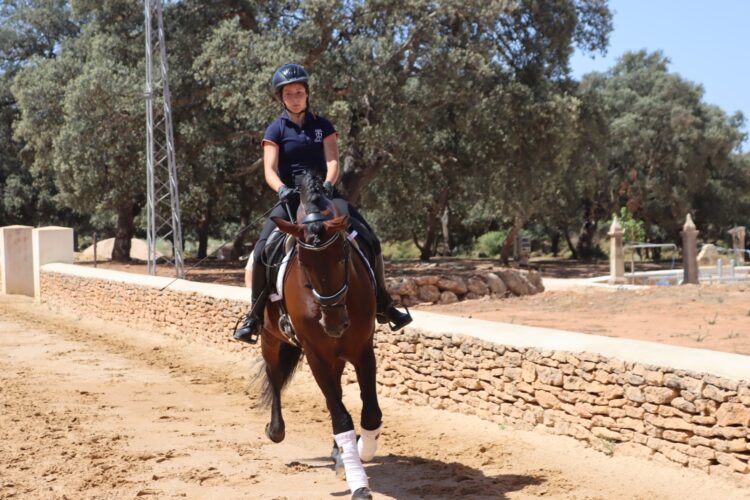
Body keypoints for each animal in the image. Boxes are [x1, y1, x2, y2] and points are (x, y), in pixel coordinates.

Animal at [258, 173, 384, 500]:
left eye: (343, 256)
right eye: (302, 263)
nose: (335, 324)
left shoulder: (363, 349)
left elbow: (370, 413)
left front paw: (361, 450)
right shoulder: (316, 355)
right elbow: (340, 416)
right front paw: (358, 482)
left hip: (337, 355)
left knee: (336, 393)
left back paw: (340, 453)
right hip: (270, 338)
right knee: (274, 376)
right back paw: (275, 430)